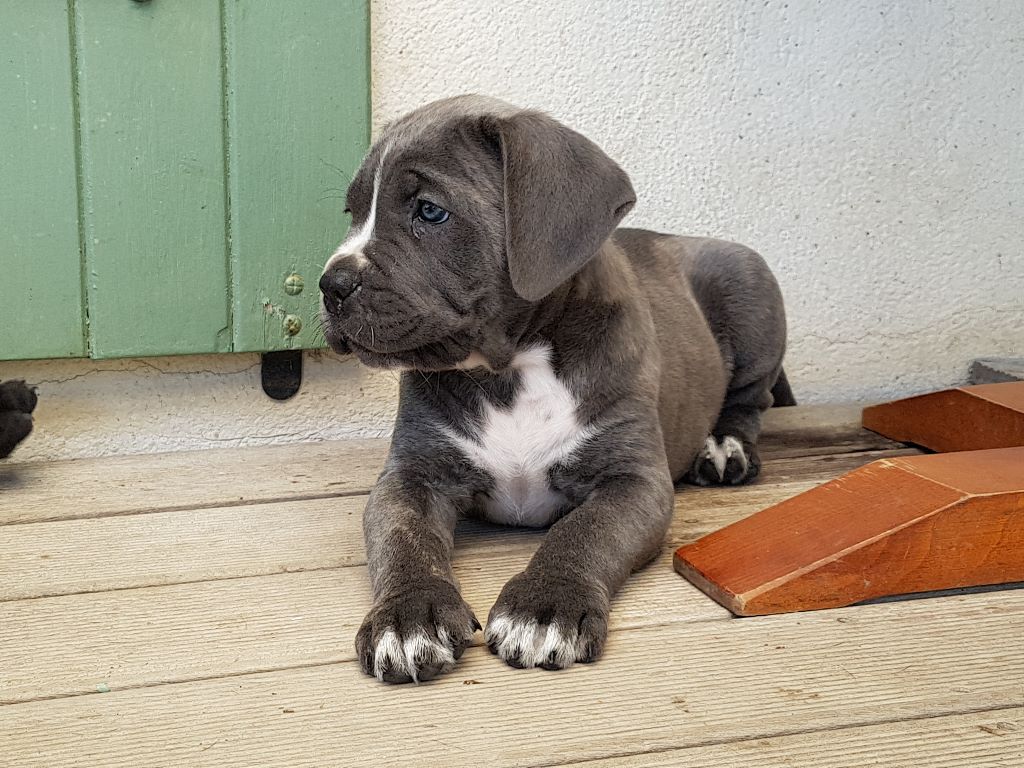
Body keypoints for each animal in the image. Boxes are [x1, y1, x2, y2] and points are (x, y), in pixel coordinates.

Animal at [319, 96, 790, 684]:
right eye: (351, 212)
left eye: (429, 211)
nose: (331, 284)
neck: (510, 368)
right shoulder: (412, 476)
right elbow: (404, 539)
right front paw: (408, 618)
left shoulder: (632, 480)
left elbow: (585, 530)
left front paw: (544, 607)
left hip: (748, 278)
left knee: (752, 398)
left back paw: (724, 448)